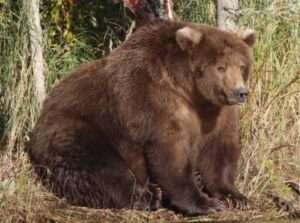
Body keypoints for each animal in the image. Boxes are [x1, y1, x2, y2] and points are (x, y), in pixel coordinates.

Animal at [28, 19, 254, 216]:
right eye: (220, 67)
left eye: (242, 66)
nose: (240, 92)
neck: (191, 92)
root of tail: (40, 116)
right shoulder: (156, 100)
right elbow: (171, 153)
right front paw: (206, 203)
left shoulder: (217, 113)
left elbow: (219, 150)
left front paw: (235, 196)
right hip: (78, 128)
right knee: (101, 166)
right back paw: (148, 196)